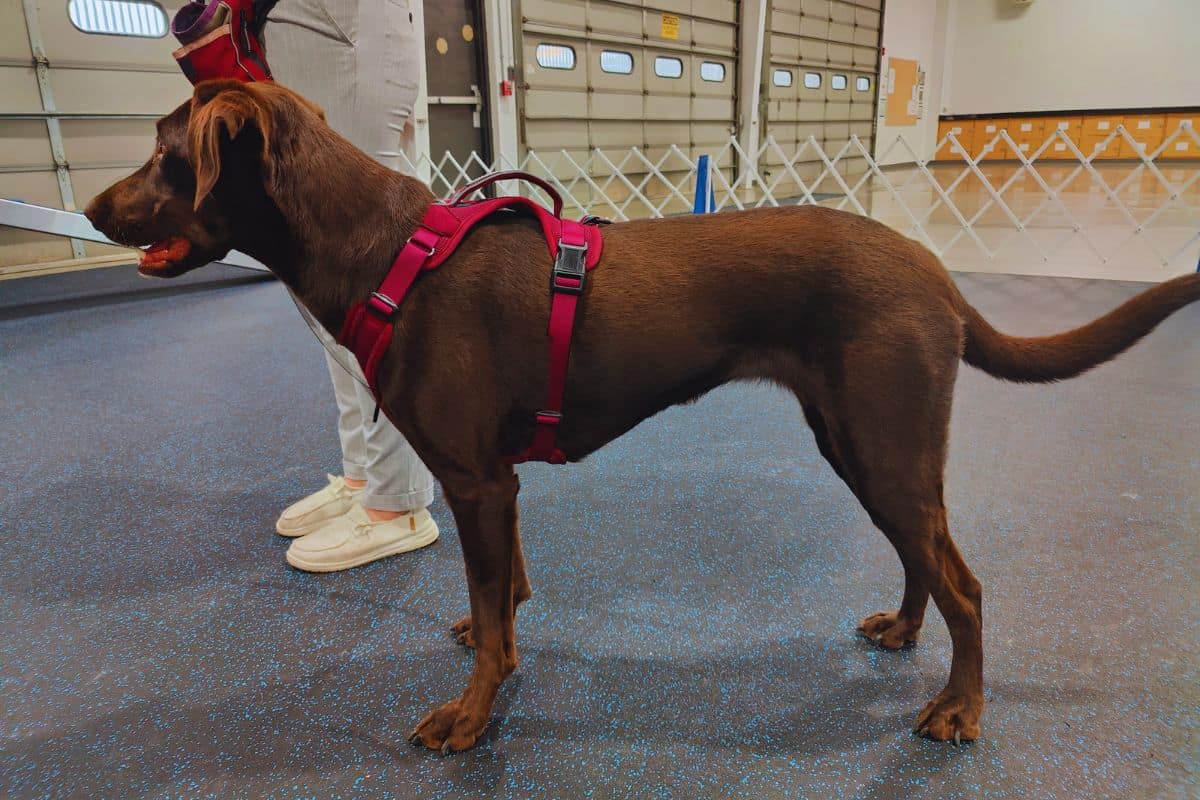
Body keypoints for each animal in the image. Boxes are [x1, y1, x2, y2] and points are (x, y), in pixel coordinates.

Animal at [87, 81, 1200, 753]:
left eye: (160, 151)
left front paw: (473, 715)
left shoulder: (475, 480)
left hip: (885, 443)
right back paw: (903, 631)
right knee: (927, 559)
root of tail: (937, 272)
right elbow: (505, 594)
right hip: (857, 442)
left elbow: (493, 615)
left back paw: (960, 706)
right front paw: (492, 642)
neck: (389, 250)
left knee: (965, 579)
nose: (93, 208)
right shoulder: (497, 483)